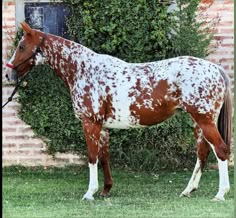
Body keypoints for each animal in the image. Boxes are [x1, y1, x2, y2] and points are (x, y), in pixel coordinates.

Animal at [5, 22, 232, 201]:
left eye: (22, 46)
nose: (8, 74)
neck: (83, 70)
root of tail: (215, 69)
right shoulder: (103, 127)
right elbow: (104, 157)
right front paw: (105, 190)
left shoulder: (90, 123)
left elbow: (92, 157)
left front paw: (89, 193)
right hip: (198, 122)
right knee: (202, 153)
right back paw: (188, 190)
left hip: (204, 120)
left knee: (220, 150)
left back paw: (220, 193)